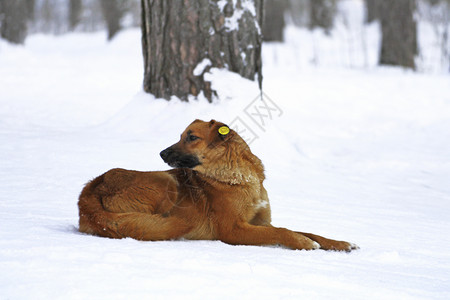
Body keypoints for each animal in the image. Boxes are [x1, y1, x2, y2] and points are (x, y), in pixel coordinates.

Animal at [78, 119, 358, 251]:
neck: (240, 177)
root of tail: (87, 194)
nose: (161, 153)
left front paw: (339, 243)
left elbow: (307, 231)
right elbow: (282, 232)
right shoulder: (233, 229)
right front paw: (303, 243)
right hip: (166, 182)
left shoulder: (260, 221)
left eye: (191, 137)